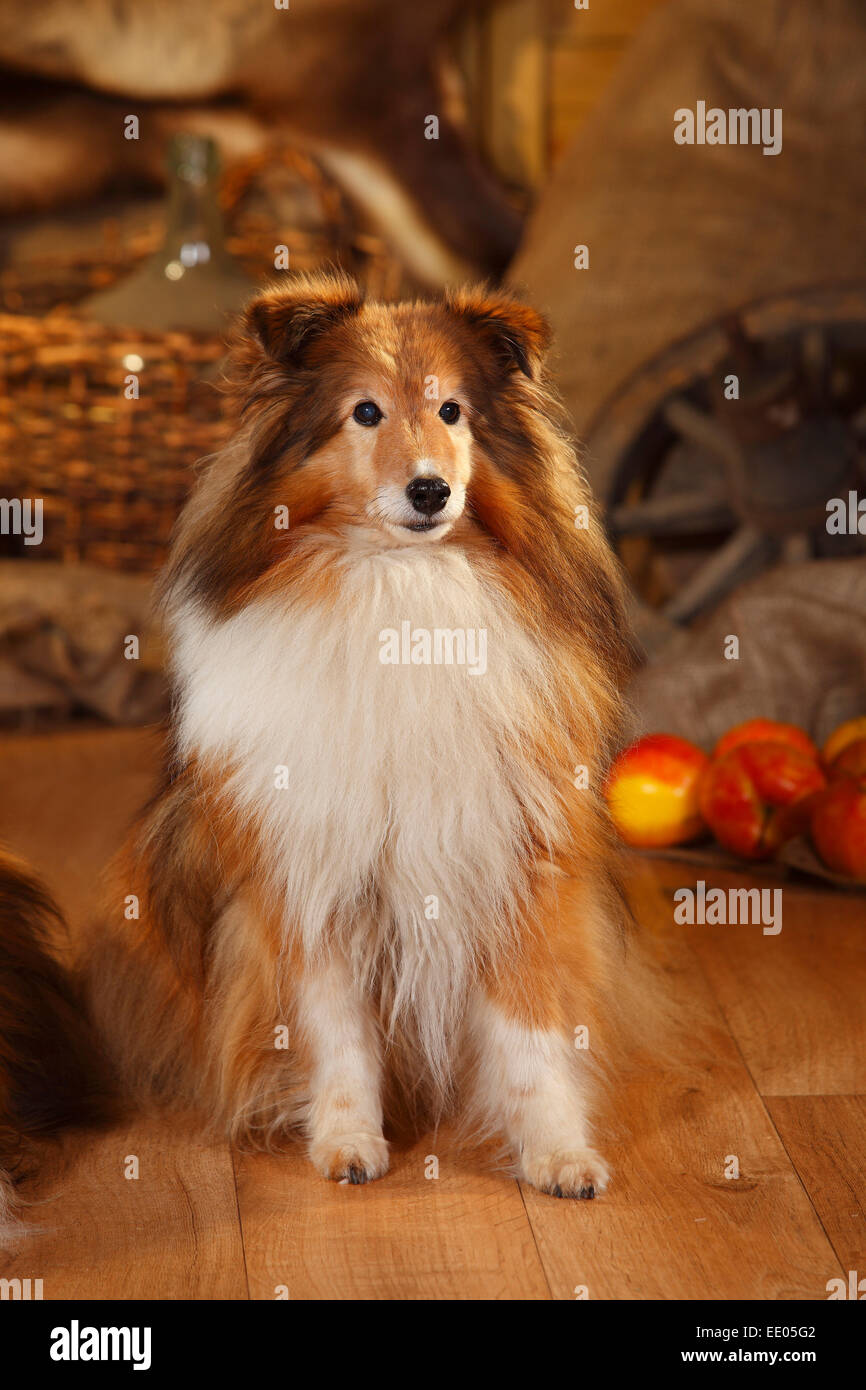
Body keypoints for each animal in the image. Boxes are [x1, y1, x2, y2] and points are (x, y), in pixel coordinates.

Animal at [88, 271, 636, 1195]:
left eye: (452, 411)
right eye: (366, 413)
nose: (430, 491)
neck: (398, 590)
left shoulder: (515, 857)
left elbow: (530, 1028)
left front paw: (559, 1153)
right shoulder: (308, 867)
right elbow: (334, 1026)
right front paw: (347, 1141)